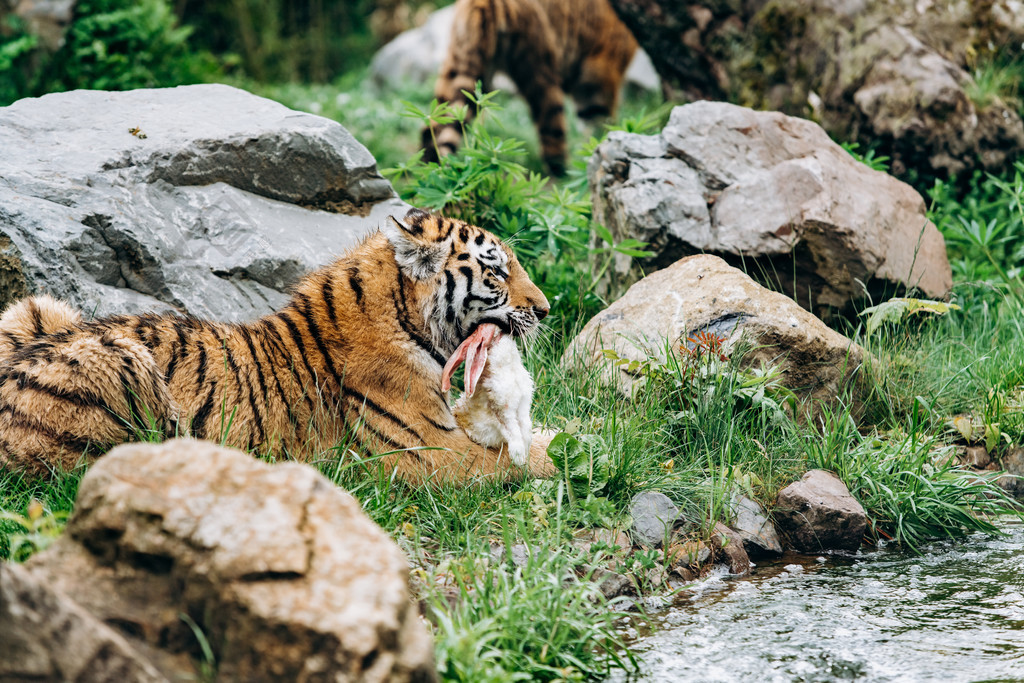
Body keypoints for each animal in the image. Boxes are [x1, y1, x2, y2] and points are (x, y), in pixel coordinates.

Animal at [0, 210, 552, 483]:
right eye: (497, 271)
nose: (547, 310)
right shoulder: (433, 453)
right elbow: (526, 460)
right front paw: (567, 455)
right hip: (118, 355)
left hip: (35, 309)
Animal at [419, 0, 634, 176]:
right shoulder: (601, 72)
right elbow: (599, 120)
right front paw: (599, 146)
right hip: (540, 65)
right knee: (551, 131)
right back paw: (563, 175)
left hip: (461, 65)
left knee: (433, 126)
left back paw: (427, 169)